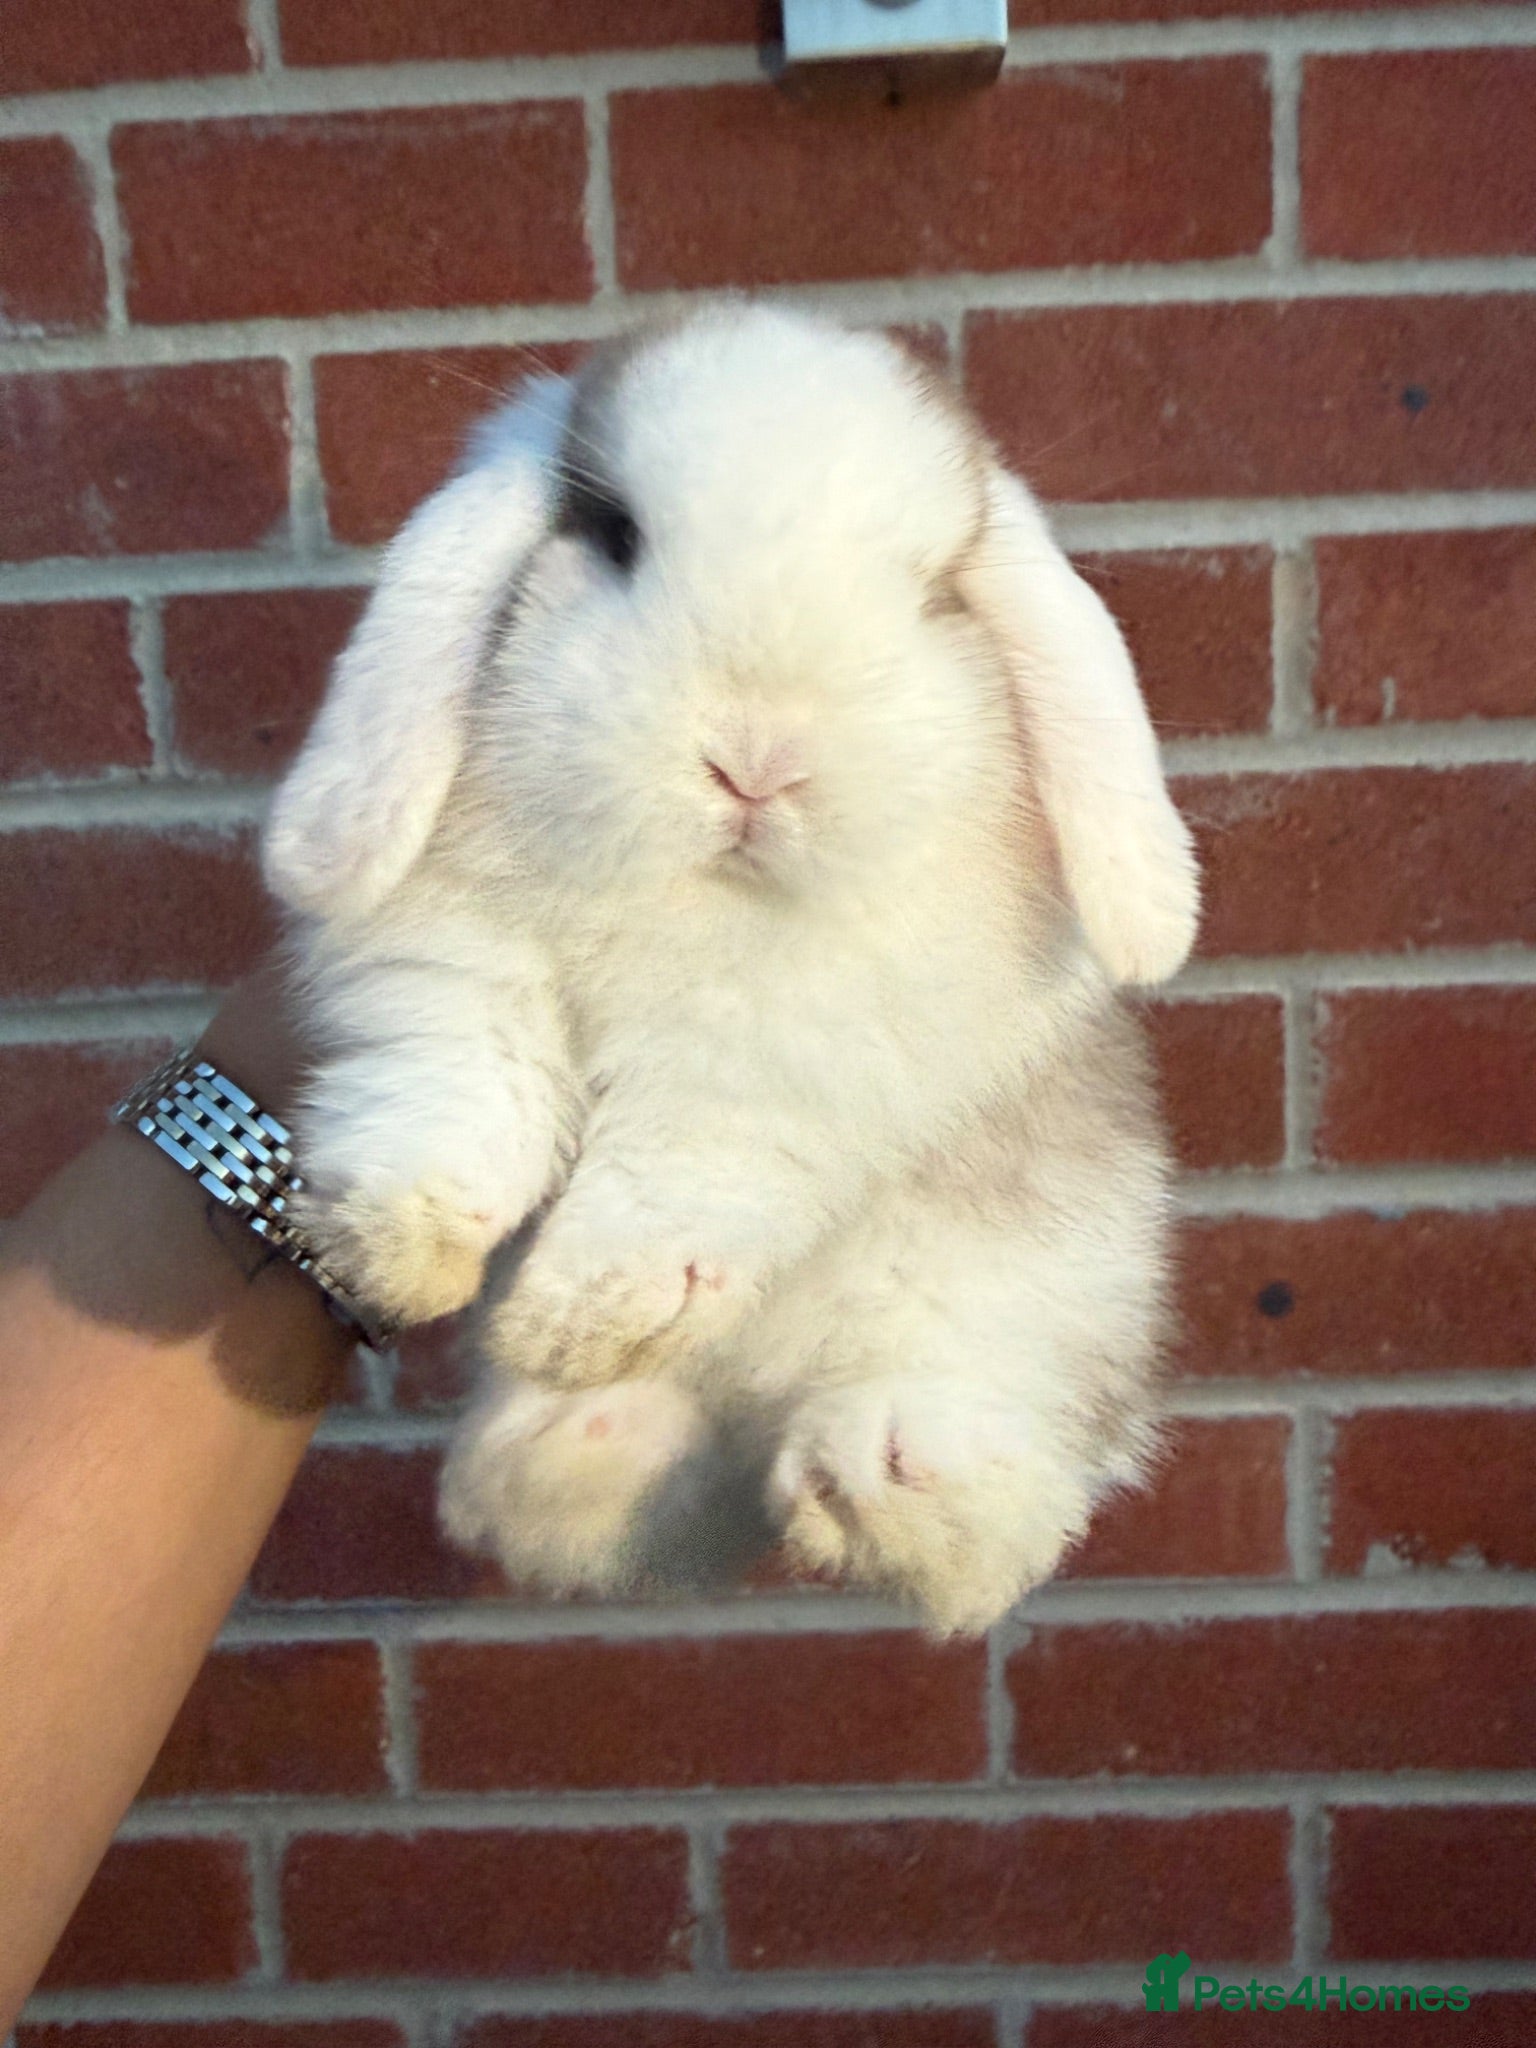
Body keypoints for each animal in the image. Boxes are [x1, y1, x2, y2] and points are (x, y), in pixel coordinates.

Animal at [262, 300, 1199, 1636]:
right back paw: (572, 1442)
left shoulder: (779, 1057)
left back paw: (885, 1480)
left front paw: (578, 1309)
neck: (697, 900)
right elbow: (457, 1094)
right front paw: (400, 1246)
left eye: (933, 591)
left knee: (992, 1510)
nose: (758, 759)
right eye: (614, 532)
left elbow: (677, 1178)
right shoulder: (454, 973)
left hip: (1042, 1297)